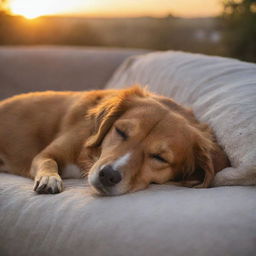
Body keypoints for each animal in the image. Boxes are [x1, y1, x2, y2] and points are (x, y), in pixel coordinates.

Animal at [0, 85, 230, 195]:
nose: (108, 176)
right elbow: (48, 161)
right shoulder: (45, 155)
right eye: (120, 131)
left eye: (160, 158)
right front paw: (49, 179)